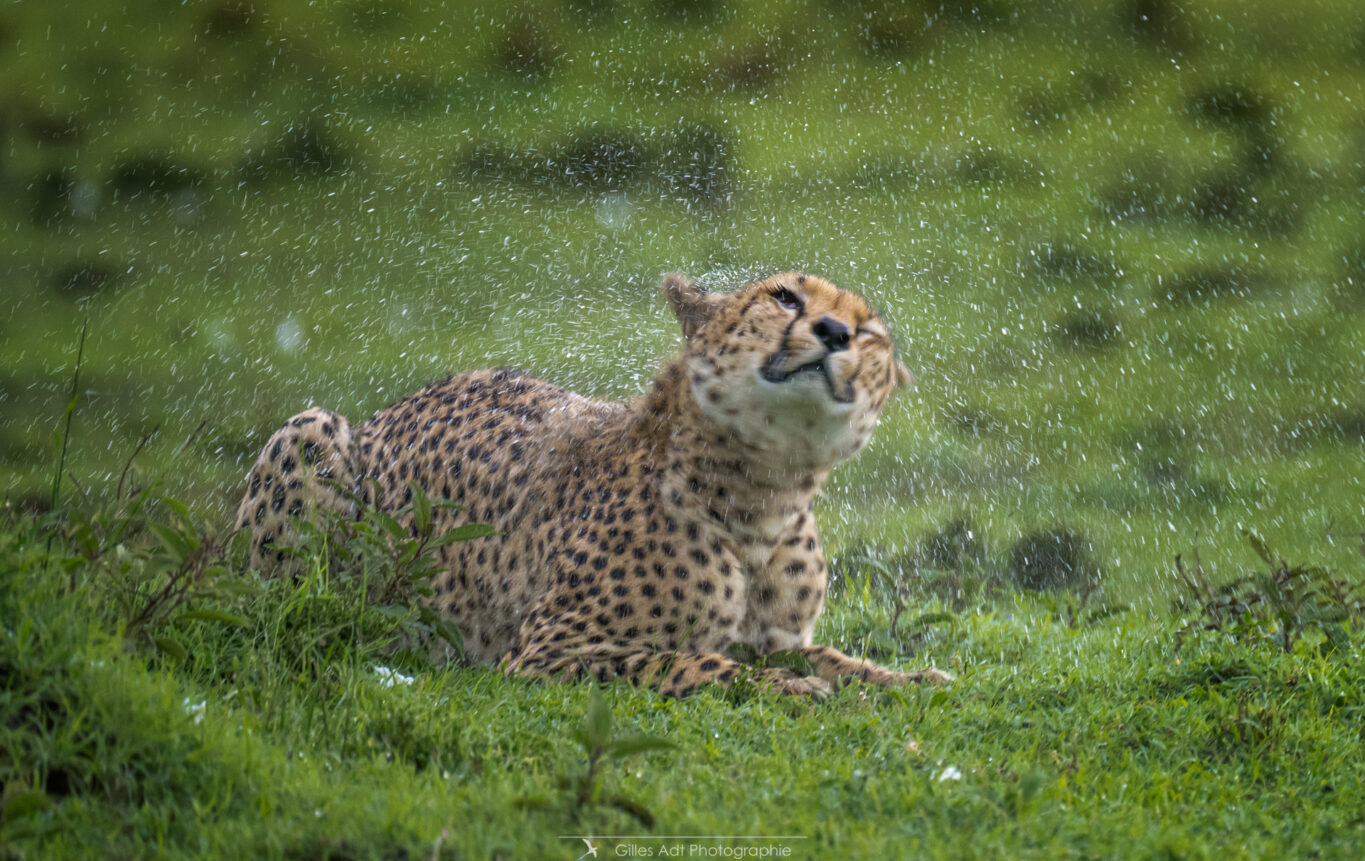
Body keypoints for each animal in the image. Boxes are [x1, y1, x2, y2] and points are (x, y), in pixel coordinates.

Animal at [234, 272, 955, 698]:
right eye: (784, 297)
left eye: (868, 333)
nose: (833, 332)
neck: (764, 495)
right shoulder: (544, 651)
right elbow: (683, 661)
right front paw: (785, 687)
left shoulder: (782, 637)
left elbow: (830, 655)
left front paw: (907, 676)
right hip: (310, 431)